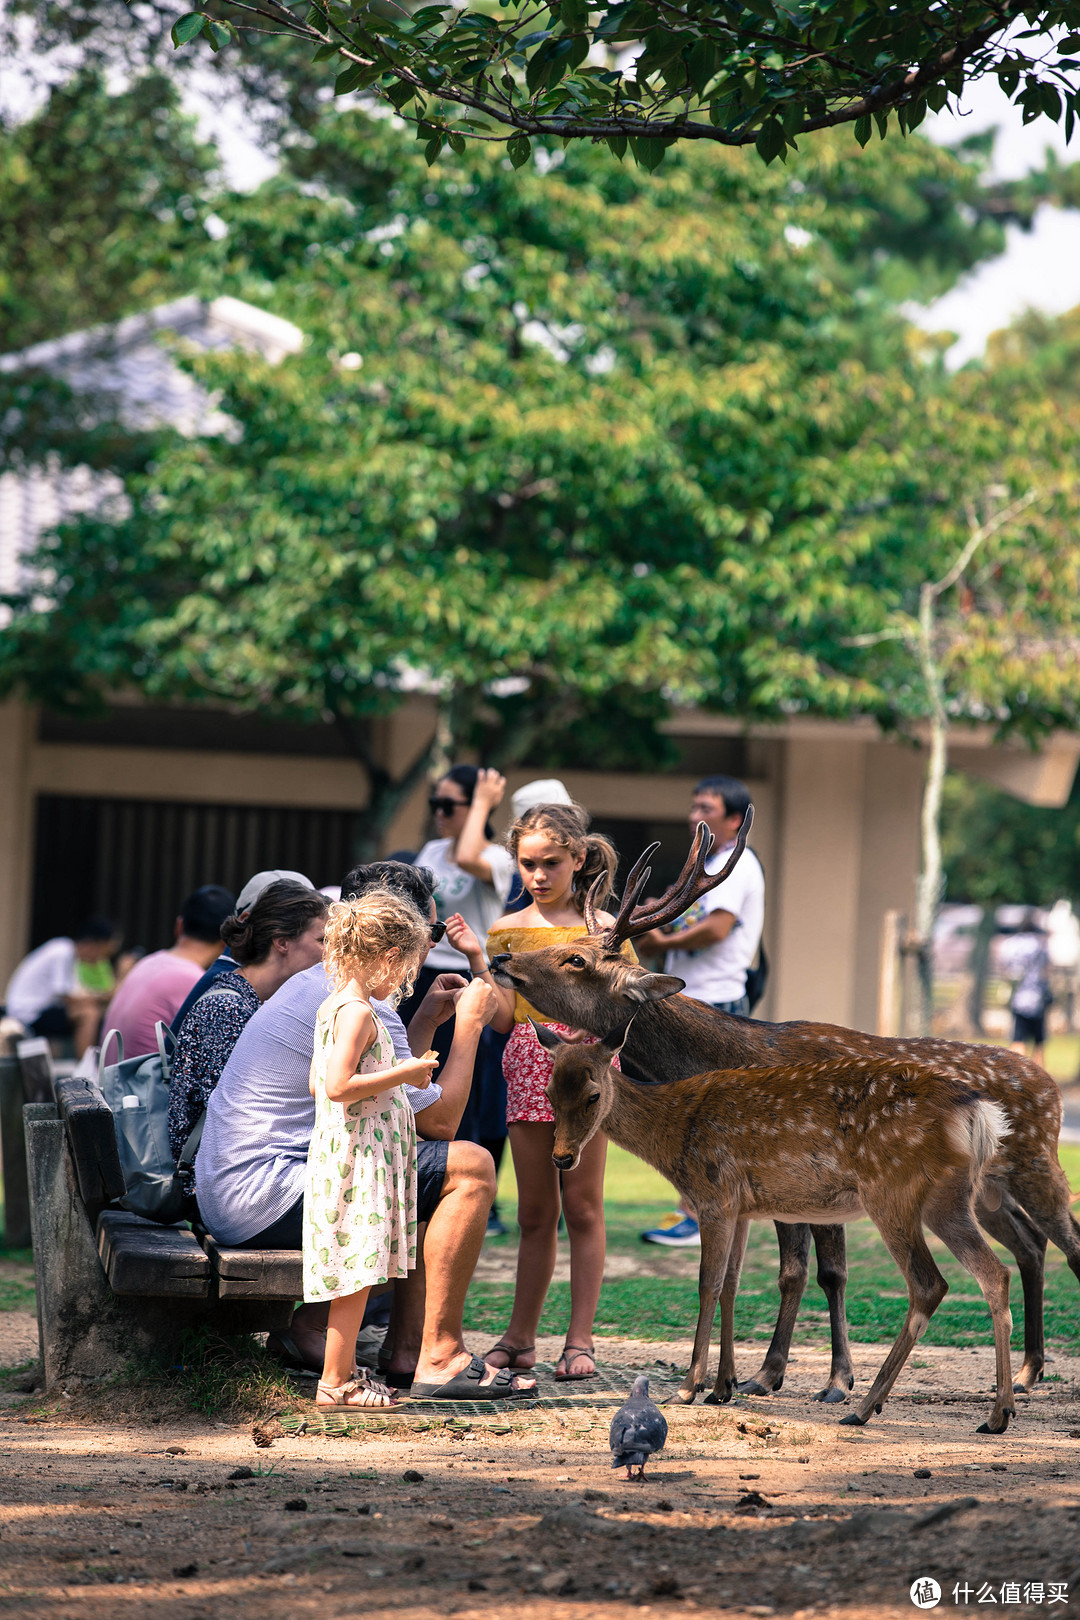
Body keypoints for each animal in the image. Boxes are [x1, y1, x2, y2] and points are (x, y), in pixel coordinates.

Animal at [492, 816, 1080, 1412]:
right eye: (571, 943)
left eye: (577, 959)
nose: (501, 959)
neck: (730, 1056)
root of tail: (1049, 1086)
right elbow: (789, 1274)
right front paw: (760, 1376)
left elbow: (824, 1273)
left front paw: (831, 1380)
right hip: (981, 1194)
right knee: (1030, 1246)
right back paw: (1027, 1373)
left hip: (1036, 1165)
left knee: (1068, 1244)